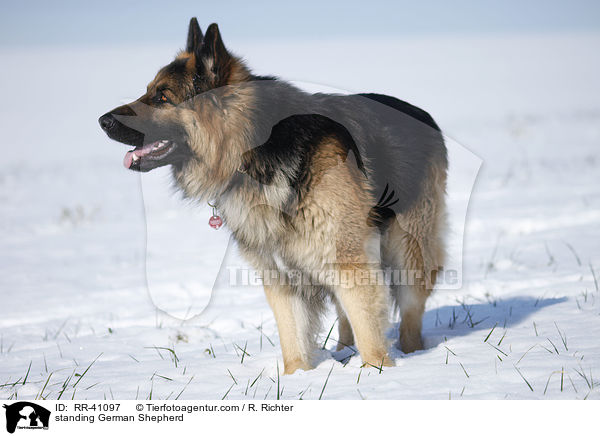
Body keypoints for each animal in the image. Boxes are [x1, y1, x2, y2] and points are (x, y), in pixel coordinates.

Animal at [99, 18, 446, 374]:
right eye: (149, 91)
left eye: (163, 96)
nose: (102, 121)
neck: (251, 147)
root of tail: (422, 114)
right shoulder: (280, 276)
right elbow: (293, 338)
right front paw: (298, 377)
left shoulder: (349, 261)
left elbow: (369, 333)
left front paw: (378, 374)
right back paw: (342, 352)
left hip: (408, 253)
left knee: (409, 315)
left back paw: (413, 355)